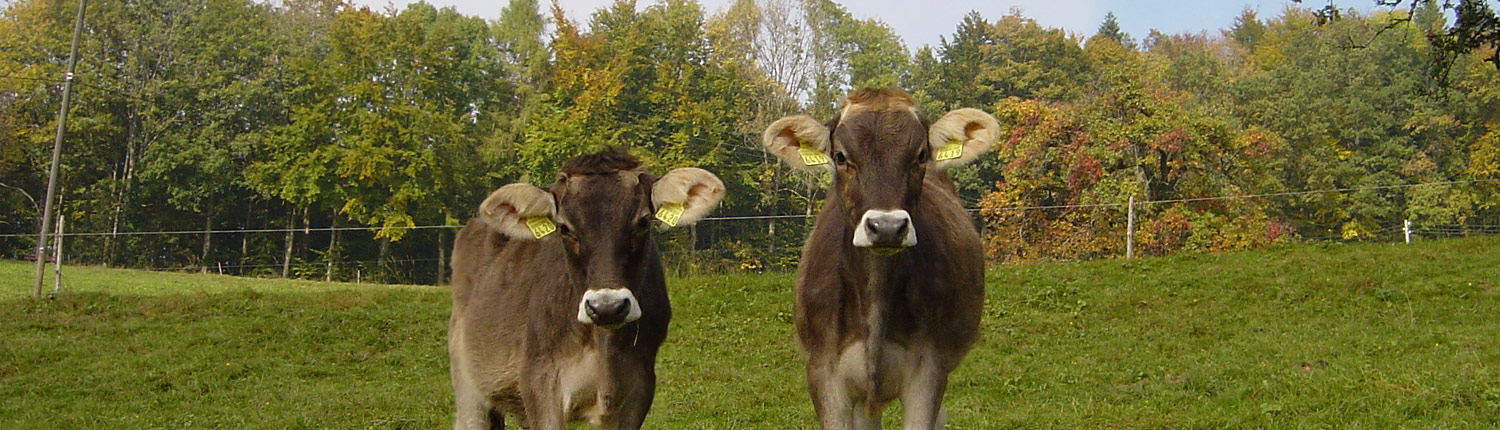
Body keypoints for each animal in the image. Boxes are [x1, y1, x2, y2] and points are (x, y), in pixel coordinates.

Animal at [447, 149, 723, 430]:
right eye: (564, 227)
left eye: (643, 221)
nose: (607, 307)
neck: (603, 346)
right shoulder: (540, 381)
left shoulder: (639, 386)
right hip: (468, 383)